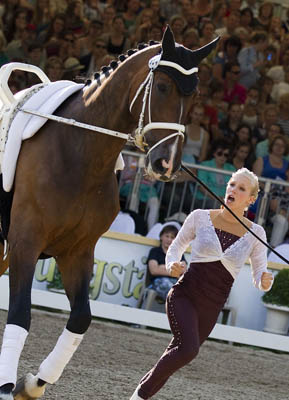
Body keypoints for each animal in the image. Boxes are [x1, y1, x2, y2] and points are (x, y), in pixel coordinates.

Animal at [0, 26, 217, 398]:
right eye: (162, 86)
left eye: (195, 95)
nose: (166, 165)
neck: (78, 151)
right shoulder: (24, 243)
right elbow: (19, 314)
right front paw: (6, 386)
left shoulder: (77, 251)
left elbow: (81, 319)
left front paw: (32, 384)